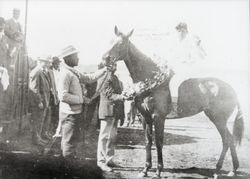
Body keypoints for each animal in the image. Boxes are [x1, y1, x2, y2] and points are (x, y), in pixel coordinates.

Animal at [103, 26, 244, 178]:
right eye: (109, 41)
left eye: (121, 43)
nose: (105, 58)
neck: (150, 78)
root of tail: (231, 89)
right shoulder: (145, 117)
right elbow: (148, 141)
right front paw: (145, 169)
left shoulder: (158, 117)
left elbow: (159, 142)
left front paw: (158, 171)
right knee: (229, 139)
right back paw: (233, 169)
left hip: (218, 119)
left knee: (227, 139)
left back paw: (218, 170)